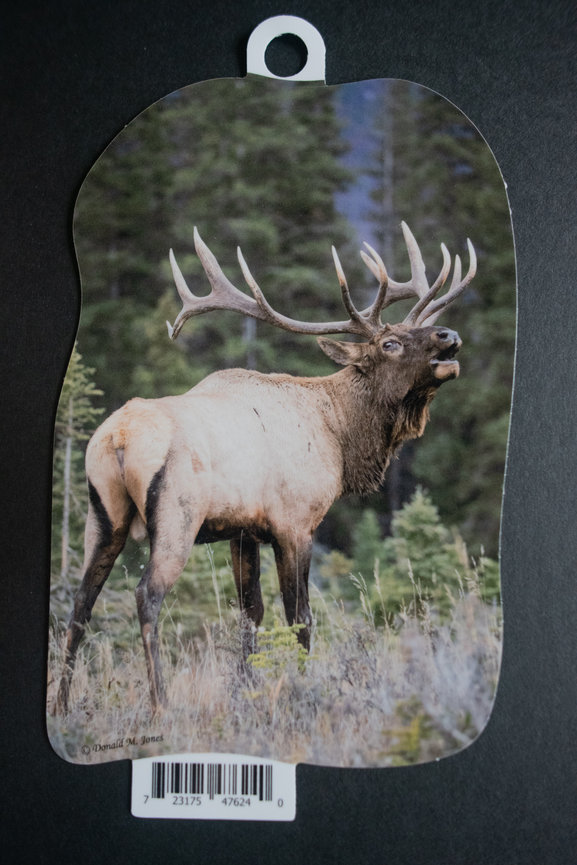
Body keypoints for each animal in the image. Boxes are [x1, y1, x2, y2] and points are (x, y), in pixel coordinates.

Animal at [56, 221, 476, 714]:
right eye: (389, 343)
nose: (448, 335)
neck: (338, 435)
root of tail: (118, 436)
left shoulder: (242, 530)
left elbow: (250, 614)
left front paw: (248, 689)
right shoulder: (295, 523)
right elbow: (300, 617)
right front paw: (299, 690)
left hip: (103, 515)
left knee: (80, 603)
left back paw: (61, 706)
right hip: (176, 516)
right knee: (147, 595)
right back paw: (160, 704)